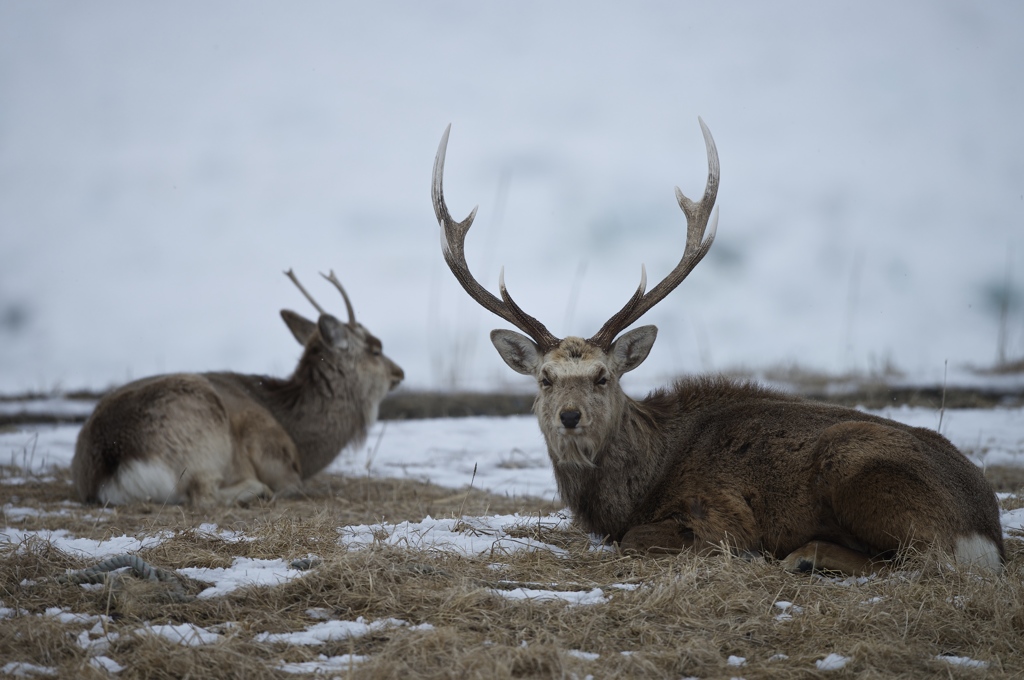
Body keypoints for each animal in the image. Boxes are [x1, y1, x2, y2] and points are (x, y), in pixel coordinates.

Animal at [72, 270, 403, 503]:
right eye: (376, 349)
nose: (399, 372)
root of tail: (111, 466)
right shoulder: (273, 451)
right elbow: (292, 486)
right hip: (203, 434)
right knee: (203, 495)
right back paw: (255, 490)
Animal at [428, 120, 1003, 573]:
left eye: (603, 376)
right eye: (545, 378)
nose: (570, 416)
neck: (630, 492)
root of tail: (987, 533)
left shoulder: (721, 510)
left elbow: (641, 539)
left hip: (862, 471)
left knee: (918, 559)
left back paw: (805, 557)